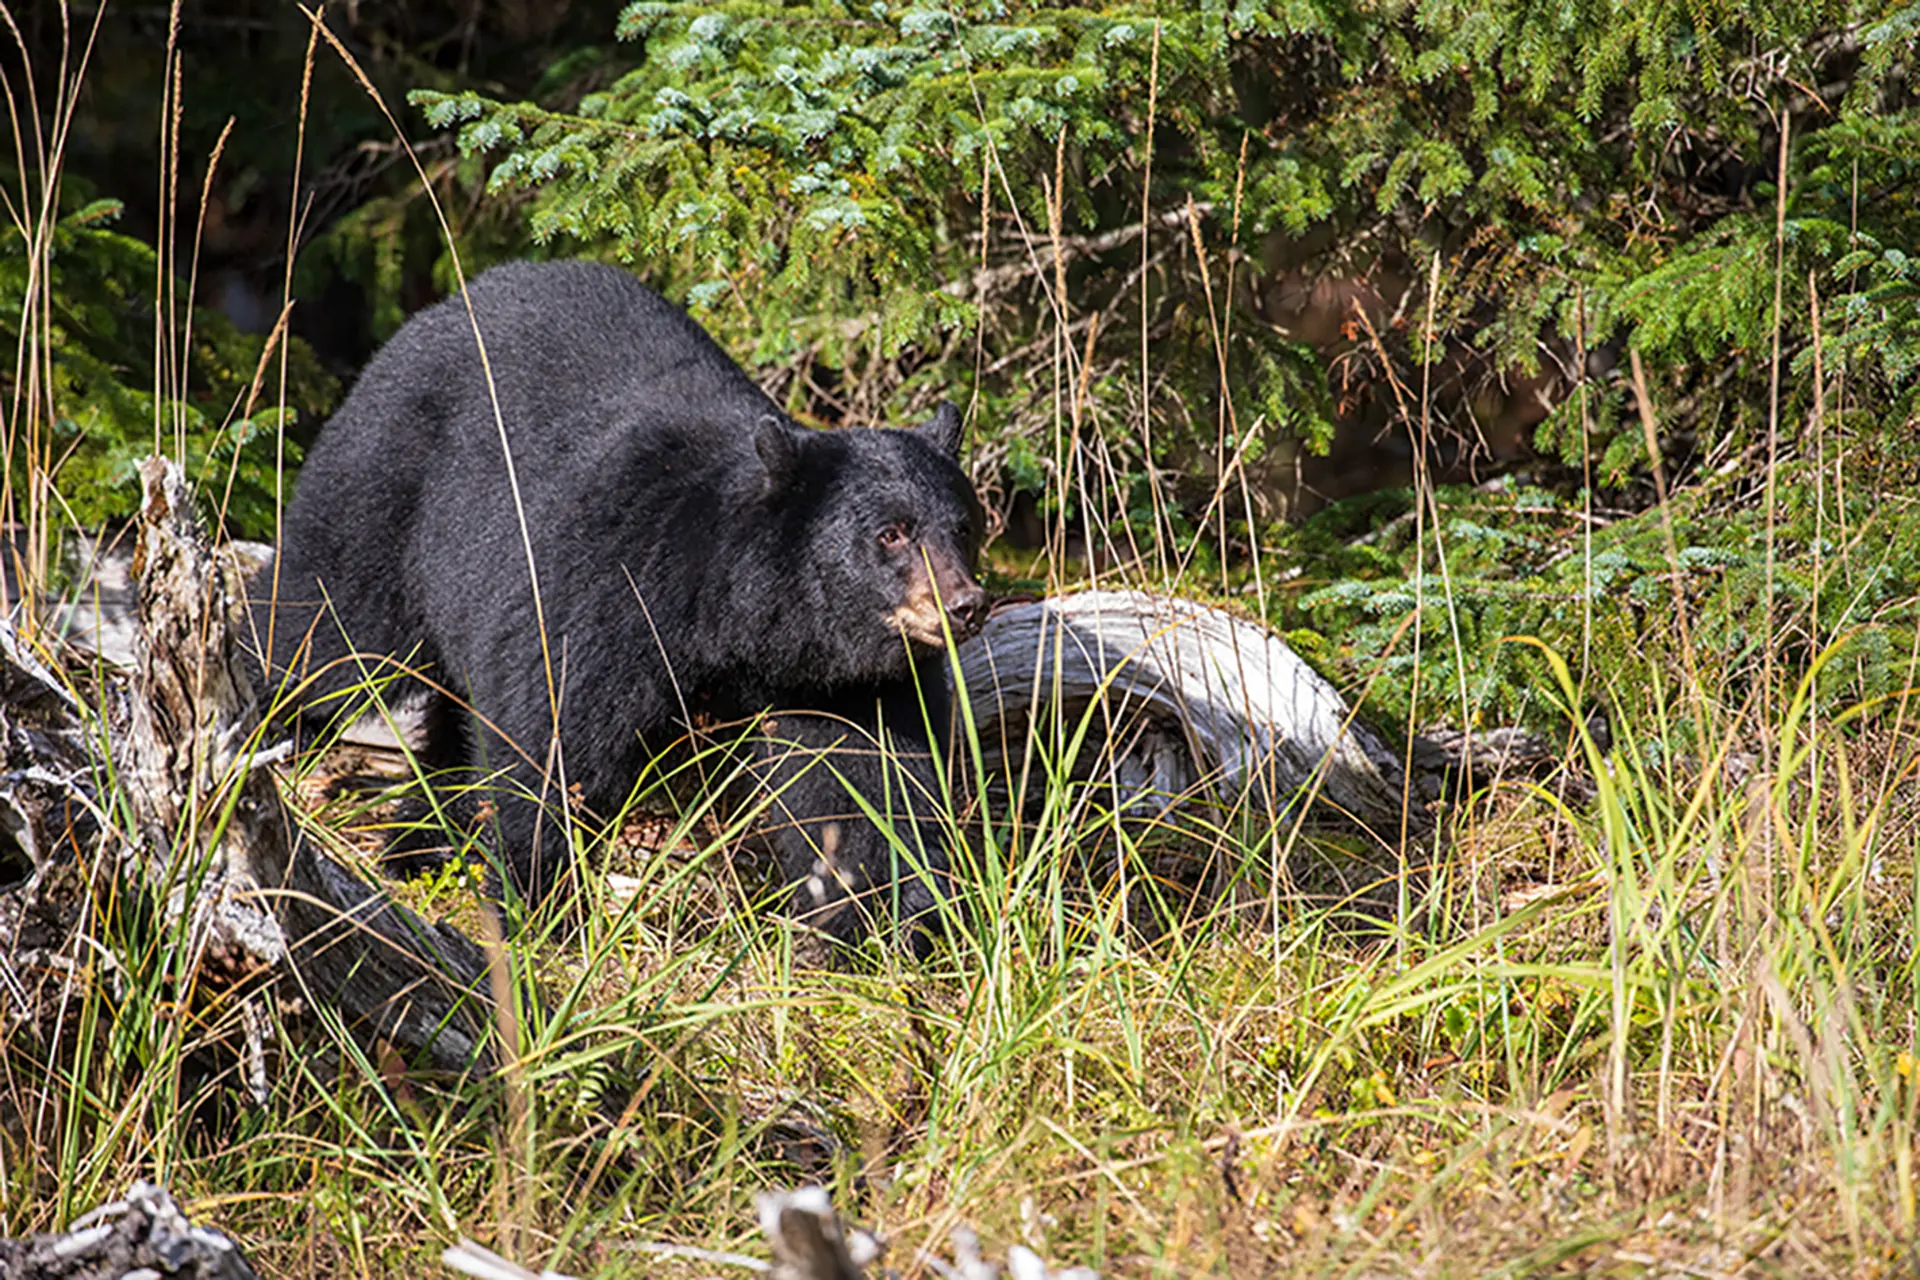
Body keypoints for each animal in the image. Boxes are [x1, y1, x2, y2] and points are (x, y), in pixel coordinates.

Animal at [247, 260, 983, 940]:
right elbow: (553, 745)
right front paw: (535, 904)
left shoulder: (847, 684)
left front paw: (883, 924)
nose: (966, 604)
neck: (733, 618)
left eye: (965, 526)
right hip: (387, 487)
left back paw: (421, 845)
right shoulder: (613, 593)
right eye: (891, 533)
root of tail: (442, 306)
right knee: (324, 626)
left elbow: (866, 790)